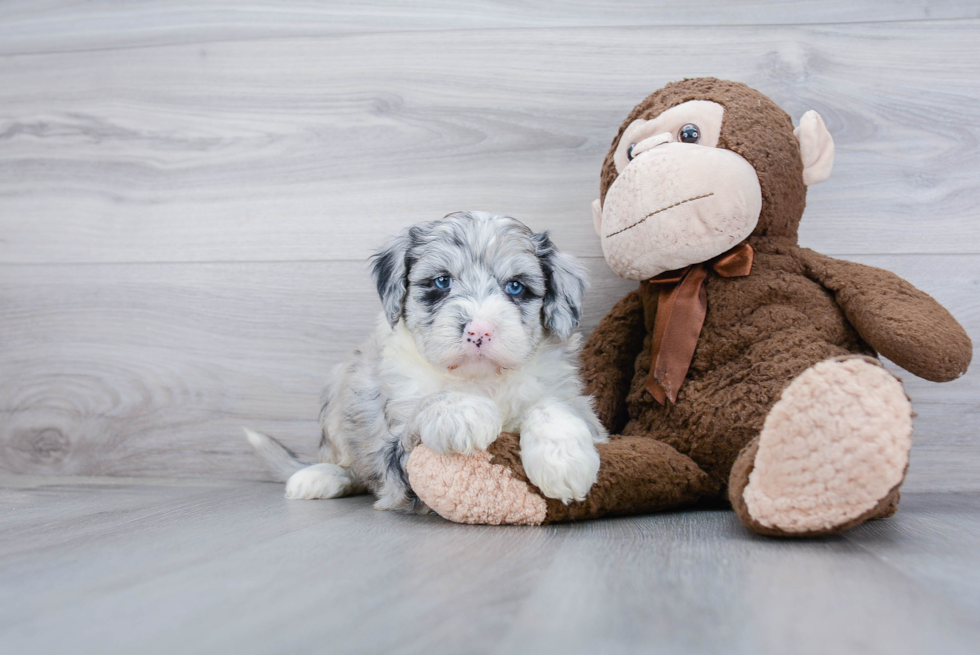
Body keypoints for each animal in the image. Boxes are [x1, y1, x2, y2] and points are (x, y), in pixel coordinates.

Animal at [245, 211, 604, 512]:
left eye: (515, 286)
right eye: (442, 282)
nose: (480, 330)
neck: (479, 380)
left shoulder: (581, 406)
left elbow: (553, 404)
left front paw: (564, 461)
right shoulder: (395, 450)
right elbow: (431, 402)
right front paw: (464, 412)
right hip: (341, 388)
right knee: (348, 464)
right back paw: (319, 476)